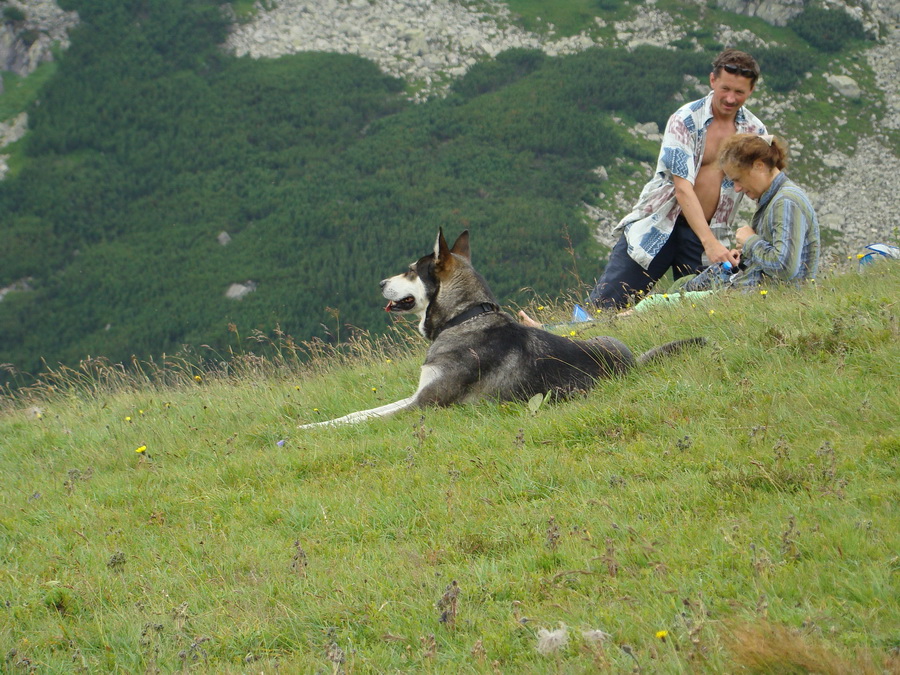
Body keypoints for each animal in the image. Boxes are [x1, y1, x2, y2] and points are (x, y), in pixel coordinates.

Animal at [298, 227, 708, 428]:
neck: (467, 317)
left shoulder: (425, 404)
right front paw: (316, 424)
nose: (381, 283)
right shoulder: (418, 395)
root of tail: (631, 364)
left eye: (411, 271)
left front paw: (310, 431)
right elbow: (359, 412)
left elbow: (369, 418)